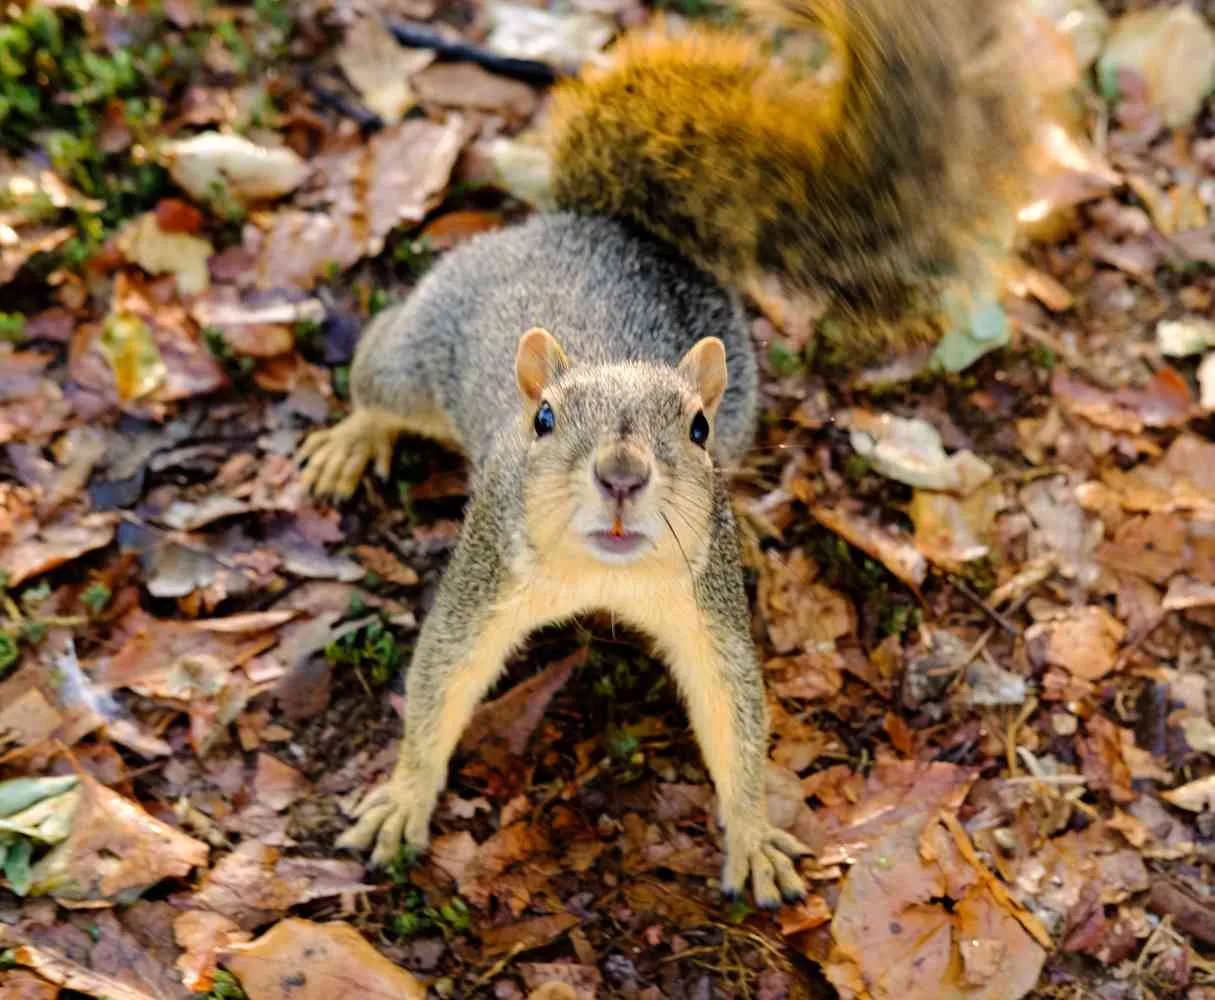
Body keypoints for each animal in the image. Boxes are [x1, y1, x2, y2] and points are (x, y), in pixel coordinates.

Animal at [297, 0, 1028, 907]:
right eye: (543, 418)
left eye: (695, 429)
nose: (621, 476)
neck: (600, 577)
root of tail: (601, 225)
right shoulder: (485, 572)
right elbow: (441, 677)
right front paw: (402, 798)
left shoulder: (703, 604)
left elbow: (732, 707)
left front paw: (752, 835)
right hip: (419, 354)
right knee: (377, 369)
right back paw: (352, 437)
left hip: (747, 402)